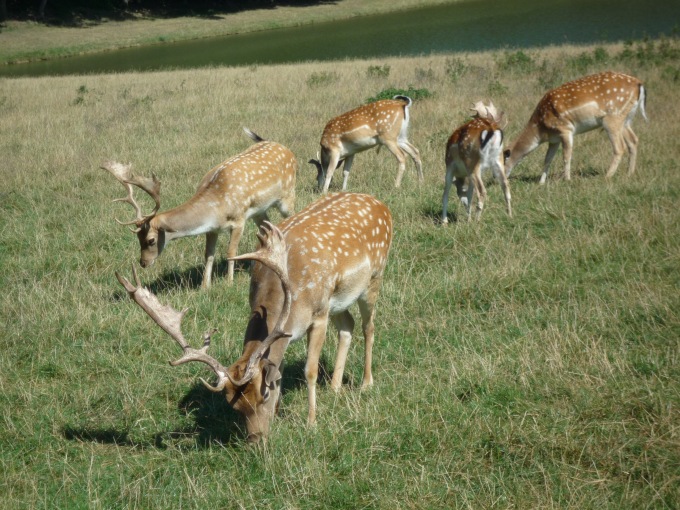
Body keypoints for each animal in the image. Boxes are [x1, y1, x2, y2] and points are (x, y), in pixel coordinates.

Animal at [101, 127, 294, 286]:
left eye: (151, 240)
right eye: (137, 238)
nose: (143, 263)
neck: (216, 206)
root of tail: (285, 147)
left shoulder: (239, 220)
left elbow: (231, 252)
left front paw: (229, 283)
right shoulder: (212, 229)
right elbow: (208, 254)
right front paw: (204, 286)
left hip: (287, 196)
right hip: (259, 211)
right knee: (267, 226)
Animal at [115, 191, 394, 442]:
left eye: (264, 396)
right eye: (234, 405)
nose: (255, 440)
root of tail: (382, 205)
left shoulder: (319, 314)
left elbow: (310, 370)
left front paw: (311, 423)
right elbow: (279, 365)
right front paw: (280, 415)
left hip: (373, 279)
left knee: (369, 327)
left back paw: (366, 383)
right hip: (340, 298)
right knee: (348, 326)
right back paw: (335, 387)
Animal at [504, 70, 648, 184]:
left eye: (502, 160)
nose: (501, 178)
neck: (540, 130)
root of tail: (639, 84)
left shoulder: (565, 129)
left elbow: (566, 156)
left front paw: (567, 180)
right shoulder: (554, 139)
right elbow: (547, 159)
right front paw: (541, 182)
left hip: (612, 118)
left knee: (620, 147)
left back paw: (607, 176)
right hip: (626, 119)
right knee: (633, 140)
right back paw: (629, 173)